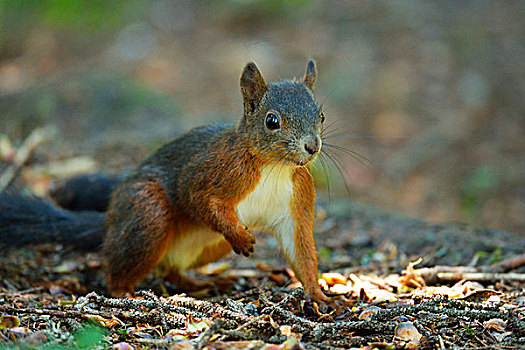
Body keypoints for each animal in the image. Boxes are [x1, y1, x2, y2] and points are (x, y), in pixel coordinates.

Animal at [0, 60, 328, 300]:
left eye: (321, 116)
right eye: (272, 121)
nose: (312, 146)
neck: (276, 167)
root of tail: (110, 222)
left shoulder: (296, 198)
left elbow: (300, 247)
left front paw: (319, 295)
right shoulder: (213, 169)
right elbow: (197, 195)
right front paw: (238, 235)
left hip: (208, 247)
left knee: (169, 269)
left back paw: (201, 284)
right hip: (148, 213)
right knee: (118, 268)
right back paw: (124, 291)